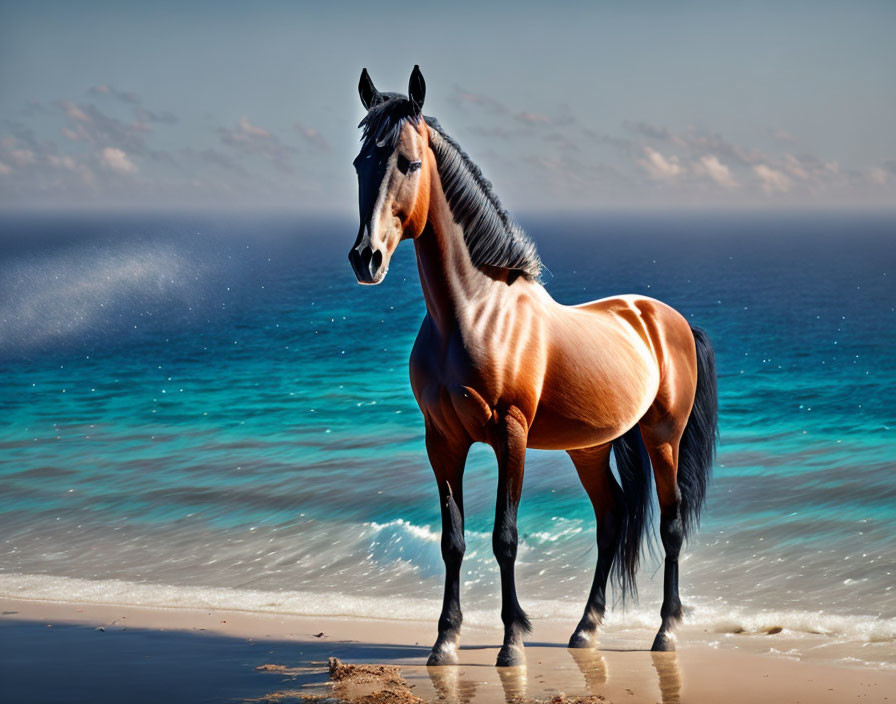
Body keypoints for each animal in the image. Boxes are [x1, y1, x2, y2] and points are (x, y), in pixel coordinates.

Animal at [346, 64, 716, 664]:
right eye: (360, 163)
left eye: (408, 163)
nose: (366, 259)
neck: (474, 314)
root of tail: (670, 321)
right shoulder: (441, 439)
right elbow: (453, 540)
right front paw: (445, 640)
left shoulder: (510, 434)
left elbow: (505, 537)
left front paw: (512, 641)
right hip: (589, 448)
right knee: (612, 519)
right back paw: (585, 628)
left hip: (663, 436)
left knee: (672, 524)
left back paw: (665, 631)